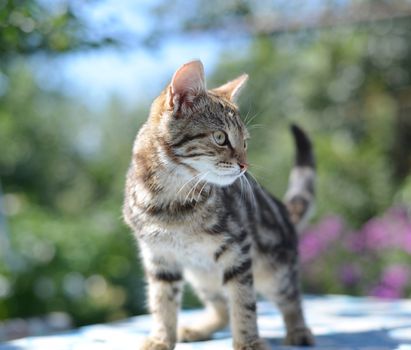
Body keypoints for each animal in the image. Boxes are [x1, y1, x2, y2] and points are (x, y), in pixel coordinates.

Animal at [122, 60, 316, 350]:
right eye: (220, 137)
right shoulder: (159, 257)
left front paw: (248, 341)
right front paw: (160, 338)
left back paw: (298, 330)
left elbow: (243, 302)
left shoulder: (238, 249)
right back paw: (197, 329)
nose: (245, 165)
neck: (171, 201)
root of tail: (283, 210)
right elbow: (161, 302)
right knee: (221, 308)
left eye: (244, 142)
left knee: (291, 297)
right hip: (202, 276)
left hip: (275, 269)